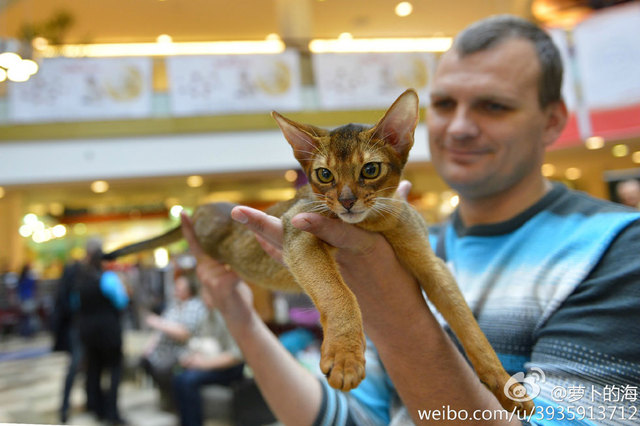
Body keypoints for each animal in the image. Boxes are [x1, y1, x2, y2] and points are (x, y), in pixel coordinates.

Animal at [106, 90, 536, 416]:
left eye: (370, 170)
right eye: (324, 175)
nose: (345, 201)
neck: (371, 228)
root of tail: (206, 207)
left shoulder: (432, 265)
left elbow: (470, 328)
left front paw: (505, 387)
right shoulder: (300, 234)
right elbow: (339, 294)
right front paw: (346, 357)